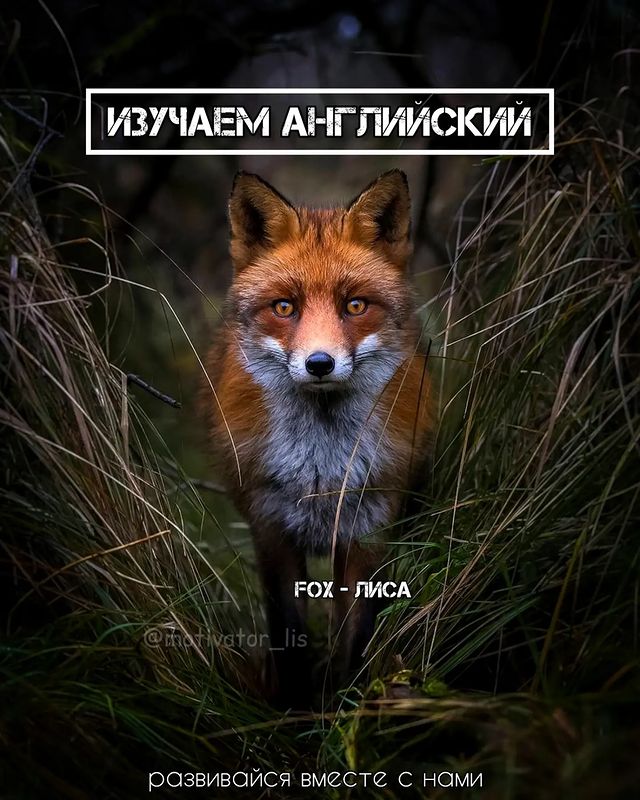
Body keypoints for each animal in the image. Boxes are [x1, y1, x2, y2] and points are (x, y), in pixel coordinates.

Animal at [203, 169, 432, 706]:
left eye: (355, 305)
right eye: (285, 307)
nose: (320, 363)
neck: (320, 467)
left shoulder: (370, 528)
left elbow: (356, 636)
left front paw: (344, 703)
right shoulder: (270, 528)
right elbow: (288, 635)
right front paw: (293, 707)